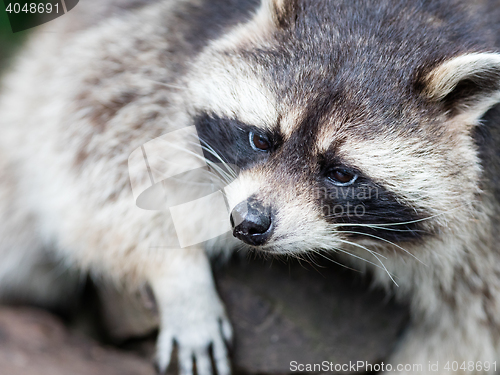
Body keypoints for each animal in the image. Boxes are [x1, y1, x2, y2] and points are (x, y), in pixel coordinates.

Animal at [2, 0, 500, 374]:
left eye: (341, 173)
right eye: (261, 139)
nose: (248, 224)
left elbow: (470, 334)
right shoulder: (160, 39)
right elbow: (91, 141)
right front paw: (177, 272)